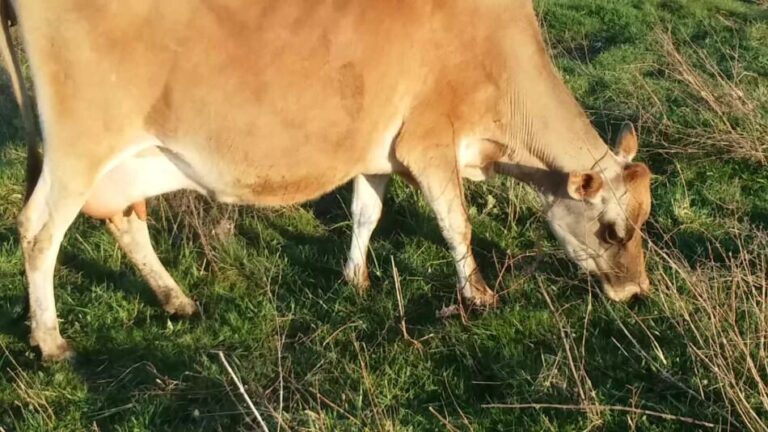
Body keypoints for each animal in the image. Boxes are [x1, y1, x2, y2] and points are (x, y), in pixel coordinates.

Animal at [1, 0, 656, 362]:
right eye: (611, 229)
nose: (636, 294)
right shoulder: (429, 142)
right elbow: (457, 225)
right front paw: (479, 295)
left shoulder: (378, 150)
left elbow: (368, 213)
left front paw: (355, 279)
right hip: (79, 147)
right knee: (38, 230)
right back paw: (51, 341)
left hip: (125, 159)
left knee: (124, 220)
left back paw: (176, 299)